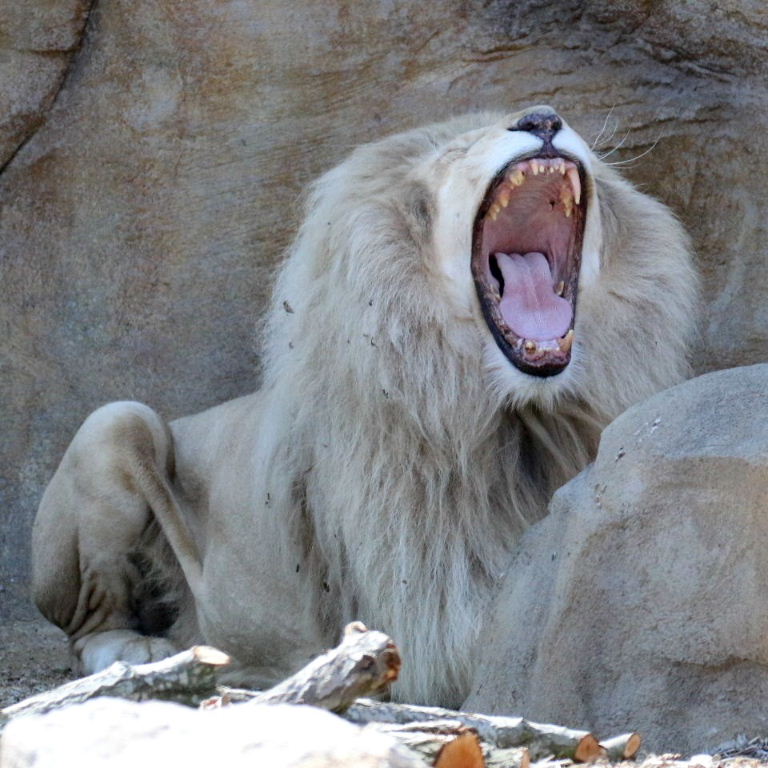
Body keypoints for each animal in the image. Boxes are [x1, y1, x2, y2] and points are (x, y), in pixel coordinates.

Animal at [32, 107, 697, 707]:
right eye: (457, 151)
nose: (543, 119)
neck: (526, 416)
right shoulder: (429, 617)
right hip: (116, 423)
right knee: (85, 627)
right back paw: (136, 652)